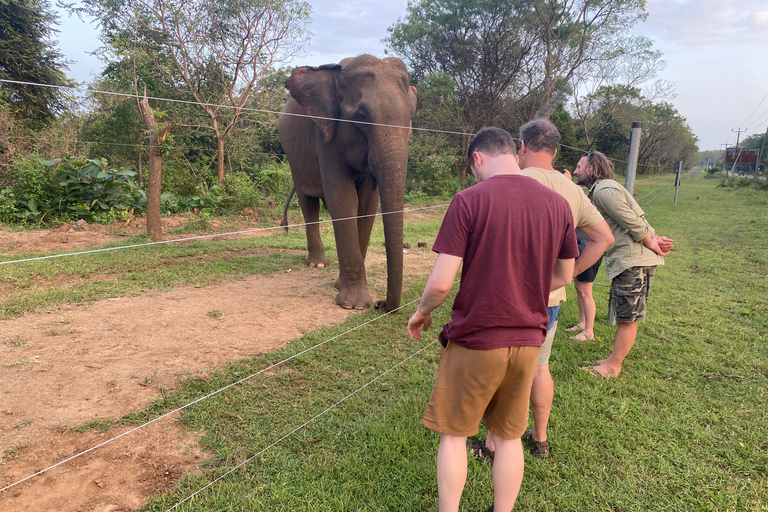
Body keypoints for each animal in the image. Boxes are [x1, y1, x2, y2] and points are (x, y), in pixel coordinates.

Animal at [278, 55, 416, 312]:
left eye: (411, 118)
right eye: (361, 116)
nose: (382, 304)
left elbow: (367, 204)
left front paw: (342, 288)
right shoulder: (325, 133)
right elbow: (343, 199)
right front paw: (354, 305)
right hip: (293, 160)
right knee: (308, 203)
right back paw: (317, 264)